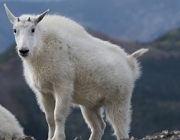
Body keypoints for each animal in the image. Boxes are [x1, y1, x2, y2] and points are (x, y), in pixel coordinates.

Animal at [4, 4, 148, 140]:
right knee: (99, 126)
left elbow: (58, 115)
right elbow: (49, 118)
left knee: (120, 127)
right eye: (14, 30)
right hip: (90, 106)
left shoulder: (62, 85)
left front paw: (58, 137)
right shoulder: (44, 92)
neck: (41, 47)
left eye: (33, 30)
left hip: (118, 100)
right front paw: (50, 137)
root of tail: (130, 63)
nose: (23, 50)